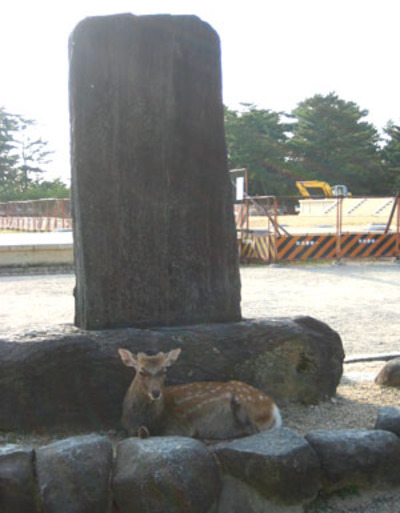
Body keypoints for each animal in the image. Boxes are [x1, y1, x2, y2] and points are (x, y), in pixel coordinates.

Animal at [118, 346, 282, 438]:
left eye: (164, 371)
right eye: (141, 372)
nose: (156, 392)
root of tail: (274, 409)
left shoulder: (180, 426)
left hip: (247, 404)